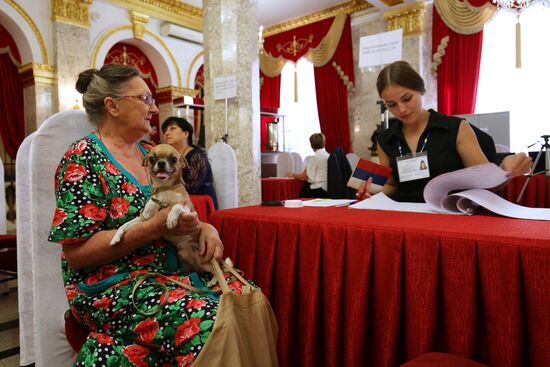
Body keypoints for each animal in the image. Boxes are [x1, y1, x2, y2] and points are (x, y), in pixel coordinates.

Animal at [110, 144, 211, 274]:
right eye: (152, 159)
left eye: (174, 159)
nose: (161, 163)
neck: (165, 188)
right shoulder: (144, 219)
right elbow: (125, 225)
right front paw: (116, 237)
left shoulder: (188, 210)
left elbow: (176, 206)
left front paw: (171, 219)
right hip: (184, 253)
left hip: (203, 259)